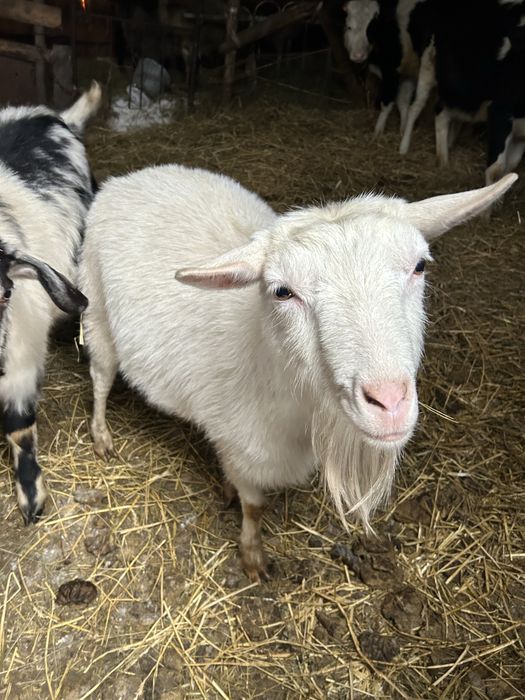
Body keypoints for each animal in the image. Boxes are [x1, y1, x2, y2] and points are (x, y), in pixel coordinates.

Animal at [78, 164, 516, 581]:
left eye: (420, 266)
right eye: (283, 292)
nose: (389, 402)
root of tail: (130, 178)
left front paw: (227, 491)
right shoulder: (243, 448)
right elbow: (255, 506)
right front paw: (252, 556)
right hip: (95, 309)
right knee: (100, 379)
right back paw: (102, 437)